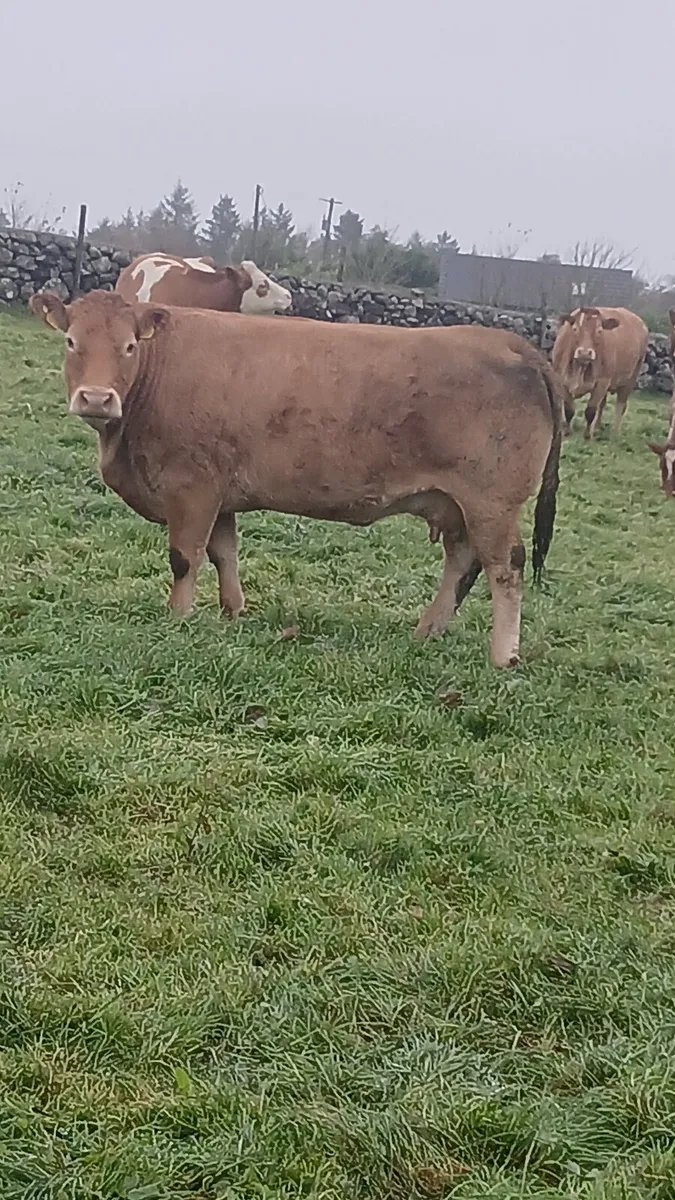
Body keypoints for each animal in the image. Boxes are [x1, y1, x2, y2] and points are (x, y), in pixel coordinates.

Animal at [29, 289, 563, 668]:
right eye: (71, 342)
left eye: (128, 346)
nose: (96, 399)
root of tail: (511, 343)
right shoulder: (220, 493)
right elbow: (224, 553)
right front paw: (233, 612)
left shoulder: (191, 487)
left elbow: (184, 558)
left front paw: (177, 619)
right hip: (457, 504)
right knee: (463, 562)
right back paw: (427, 631)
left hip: (491, 502)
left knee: (505, 568)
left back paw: (503, 656)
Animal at [552, 306, 648, 440]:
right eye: (575, 329)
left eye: (599, 331)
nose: (585, 353)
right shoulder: (562, 380)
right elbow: (569, 409)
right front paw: (567, 432)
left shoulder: (602, 382)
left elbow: (590, 410)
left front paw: (587, 436)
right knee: (602, 404)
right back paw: (597, 427)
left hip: (630, 378)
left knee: (620, 405)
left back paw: (615, 433)